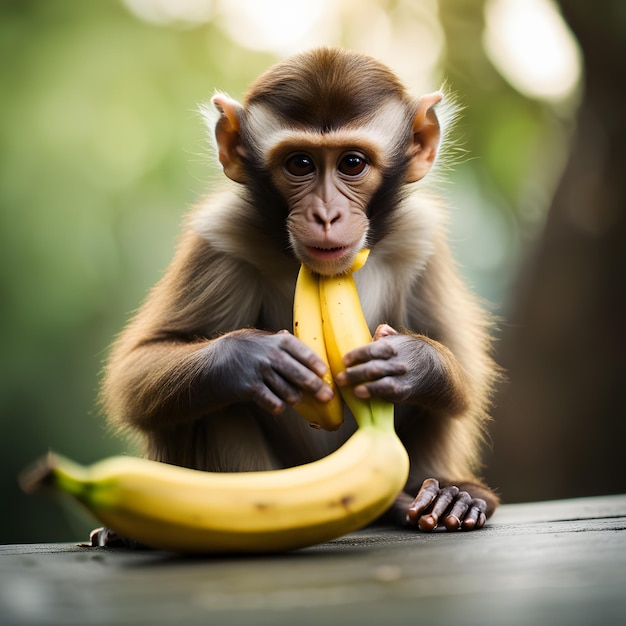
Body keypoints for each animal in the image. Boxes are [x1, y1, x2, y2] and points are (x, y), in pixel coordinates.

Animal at [96, 47, 498, 540]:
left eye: (352, 163)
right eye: (300, 164)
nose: (325, 214)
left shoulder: (421, 240)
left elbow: (466, 377)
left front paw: (411, 361)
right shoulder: (219, 237)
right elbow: (136, 370)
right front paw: (252, 359)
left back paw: (444, 497)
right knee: (209, 403)